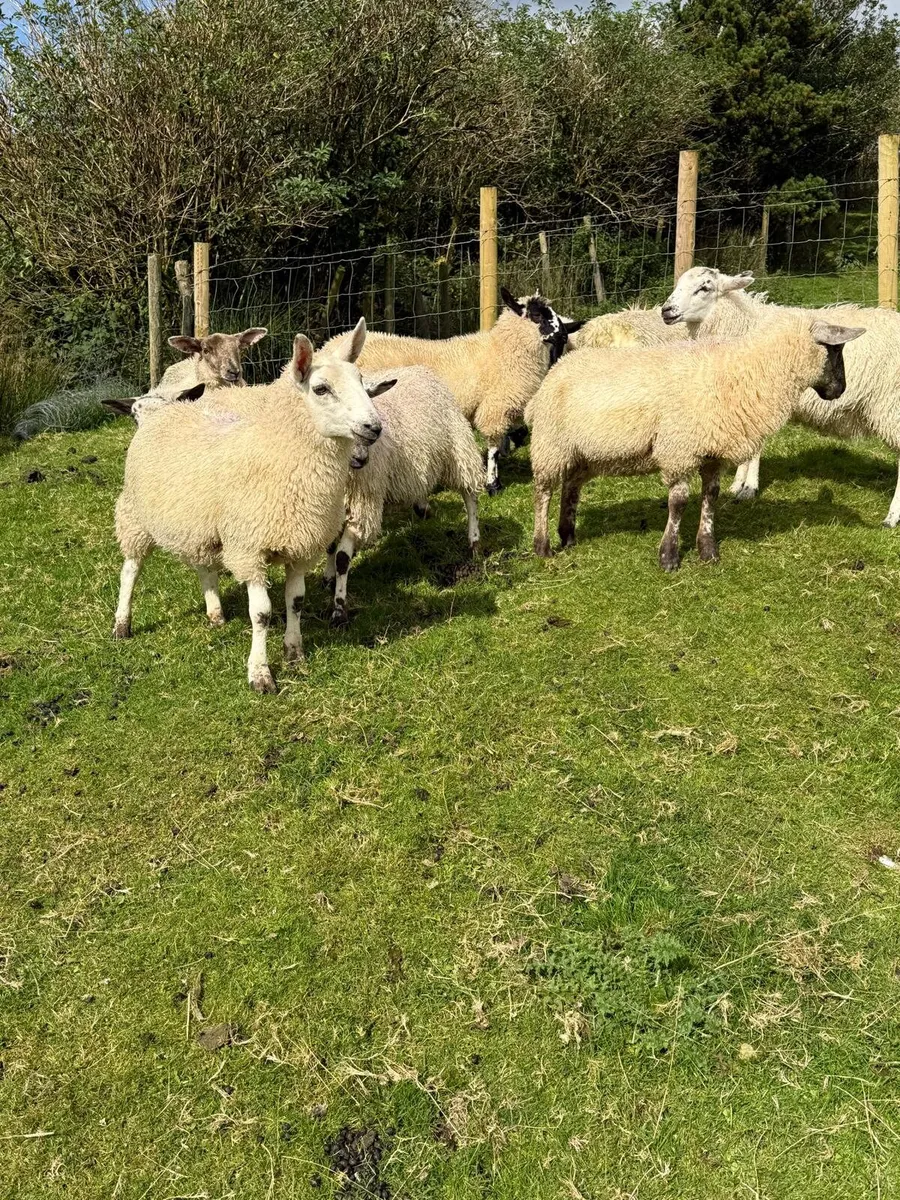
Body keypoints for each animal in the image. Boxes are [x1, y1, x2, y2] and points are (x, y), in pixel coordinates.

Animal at [112, 319, 390, 693]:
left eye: (362, 382)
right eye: (320, 389)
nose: (373, 427)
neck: (281, 454)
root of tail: (166, 410)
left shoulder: (301, 546)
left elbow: (295, 602)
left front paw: (295, 654)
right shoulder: (249, 547)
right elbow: (261, 613)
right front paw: (260, 673)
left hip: (201, 526)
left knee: (204, 566)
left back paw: (215, 613)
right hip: (136, 515)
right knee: (131, 569)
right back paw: (122, 624)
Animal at [321, 365, 485, 624]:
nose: (361, 458)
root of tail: (418, 368)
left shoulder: (363, 506)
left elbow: (342, 558)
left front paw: (339, 607)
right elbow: (329, 546)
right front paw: (327, 578)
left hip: (458, 448)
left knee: (470, 496)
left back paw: (474, 542)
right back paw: (424, 508)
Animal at [322, 290, 581, 494]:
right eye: (537, 315)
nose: (563, 335)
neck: (501, 351)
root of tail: (328, 346)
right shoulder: (495, 407)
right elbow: (494, 447)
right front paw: (493, 484)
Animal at [527, 314, 864, 570]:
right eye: (835, 350)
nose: (841, 390)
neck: (745, 372)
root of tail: (558, 369)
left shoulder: (712, 454)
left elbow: (710, 497)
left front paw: (708, 550)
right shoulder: (680, 449)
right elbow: (678, 502)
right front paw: (669, 555)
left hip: (584, 452)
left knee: (571, 486)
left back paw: (568, 535)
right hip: (550, 444)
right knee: (543, 492)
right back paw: (543, 546)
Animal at [660, 267, 900, 521]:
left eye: (704, 287)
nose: (666, 310)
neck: (744, 325)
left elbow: (755, 449)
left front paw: (749, 487)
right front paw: (738, 483)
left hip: (890, 405)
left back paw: (892, 516)